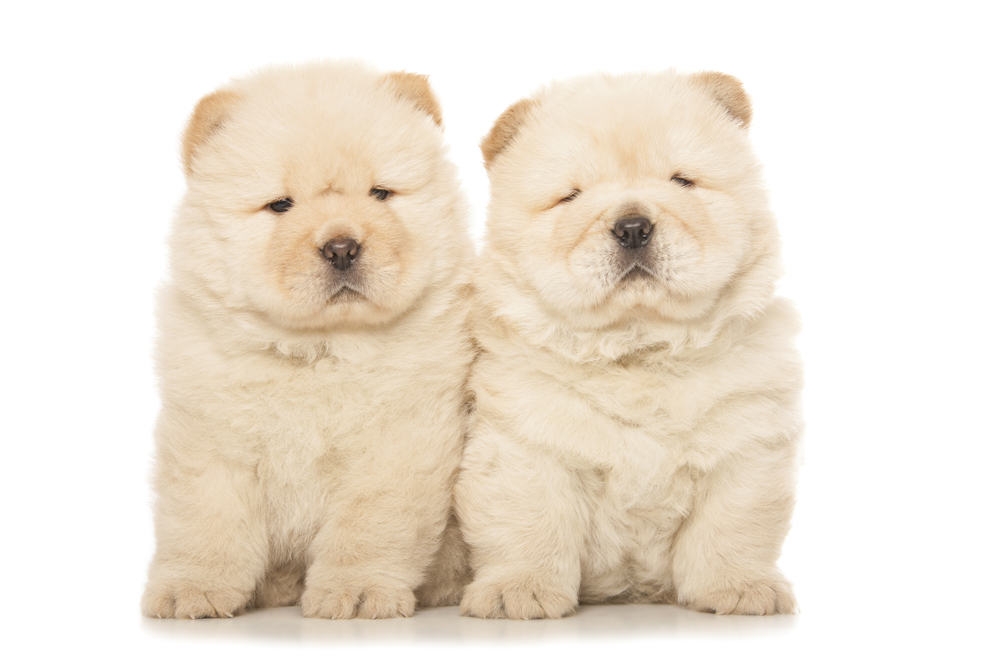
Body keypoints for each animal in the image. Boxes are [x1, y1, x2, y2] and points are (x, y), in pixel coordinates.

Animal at [140, 62, 476, 620]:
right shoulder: (211, 439)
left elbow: (367, 526)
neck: (320, 351)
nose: (341, 247)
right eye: (280, 205)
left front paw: (356, 592)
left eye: (380, 194)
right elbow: (204, 521)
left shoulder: (396, 443)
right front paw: (192, 590)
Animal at [454, 70, 804, 620]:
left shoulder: (744, 439)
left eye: (682, 181)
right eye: (570, 196)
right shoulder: (527, 441)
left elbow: (732, 527)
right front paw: (519, 593)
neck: (638, 348)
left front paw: (740, 590)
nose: (633, 226)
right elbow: (528, 524)